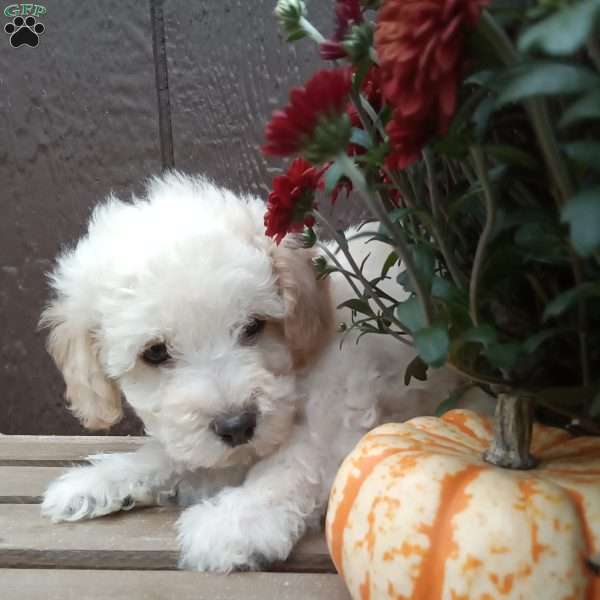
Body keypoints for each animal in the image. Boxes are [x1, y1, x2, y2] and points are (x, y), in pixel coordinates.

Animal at [38, 172, 478, 572]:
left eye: (253, 326)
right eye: (156, 352)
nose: (237, 426)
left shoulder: (338, 417)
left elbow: (291, 463)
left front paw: (234, 522)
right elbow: (170, 455)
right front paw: (99, 480)